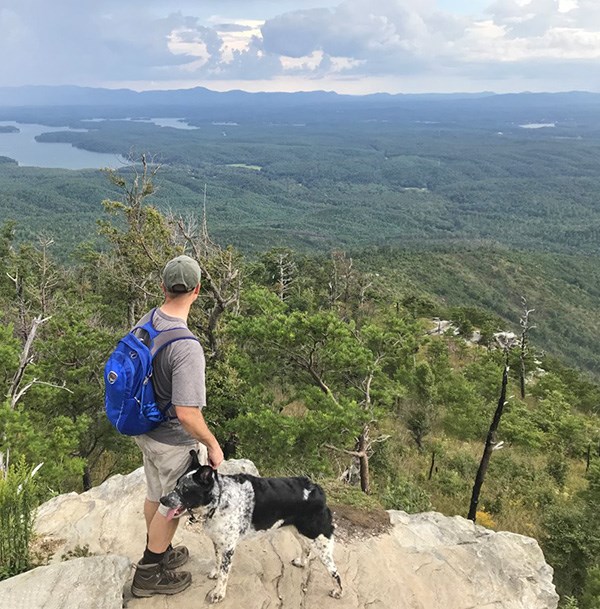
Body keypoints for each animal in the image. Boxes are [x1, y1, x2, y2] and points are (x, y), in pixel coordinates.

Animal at [161, 452, 342, 604]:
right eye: (176, 484)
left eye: (185, 489)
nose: (163, 499)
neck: (220, 498)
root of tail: (317, 490)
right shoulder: (218, 541)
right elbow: (218, 562)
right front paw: (215, 573)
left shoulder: (228, 547)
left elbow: (224, 574)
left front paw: (218, 593)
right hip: (299, 531)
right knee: (306, 548)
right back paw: (302, 562)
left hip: (318, 539)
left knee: (334, 571)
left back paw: (338, 591)